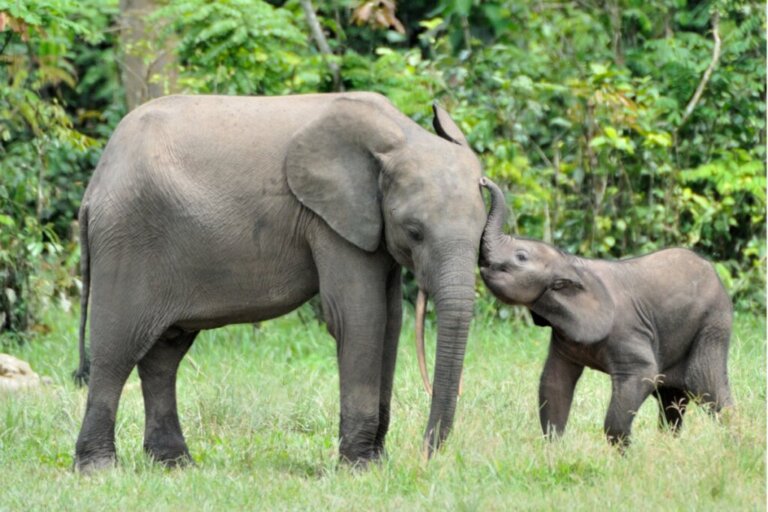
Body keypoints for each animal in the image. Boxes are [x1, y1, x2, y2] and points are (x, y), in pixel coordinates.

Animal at [72, 92, 487, 472]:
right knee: (116, 349)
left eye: (483, 229)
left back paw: (174, 464)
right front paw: (358, 469)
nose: (426, 454)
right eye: (414, 231)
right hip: (128, 237)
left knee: (164, 355)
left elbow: (390, 322)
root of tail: (94, 187)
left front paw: (375, 463)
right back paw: (99, 469)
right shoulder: (329, 219)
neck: (400, 136)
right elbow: (359, 317)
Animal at [478, 178, 733, 447]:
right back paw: (668, 447)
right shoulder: (565, 335)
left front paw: (625, 453)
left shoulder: (627, 331)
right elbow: (554, 382)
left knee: (708, 389)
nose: (483, 181)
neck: (572, 263)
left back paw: (735, 443)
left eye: (521, 256)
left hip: (712, 325)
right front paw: (553, 449)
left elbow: (642, 374)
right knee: (671, 399)